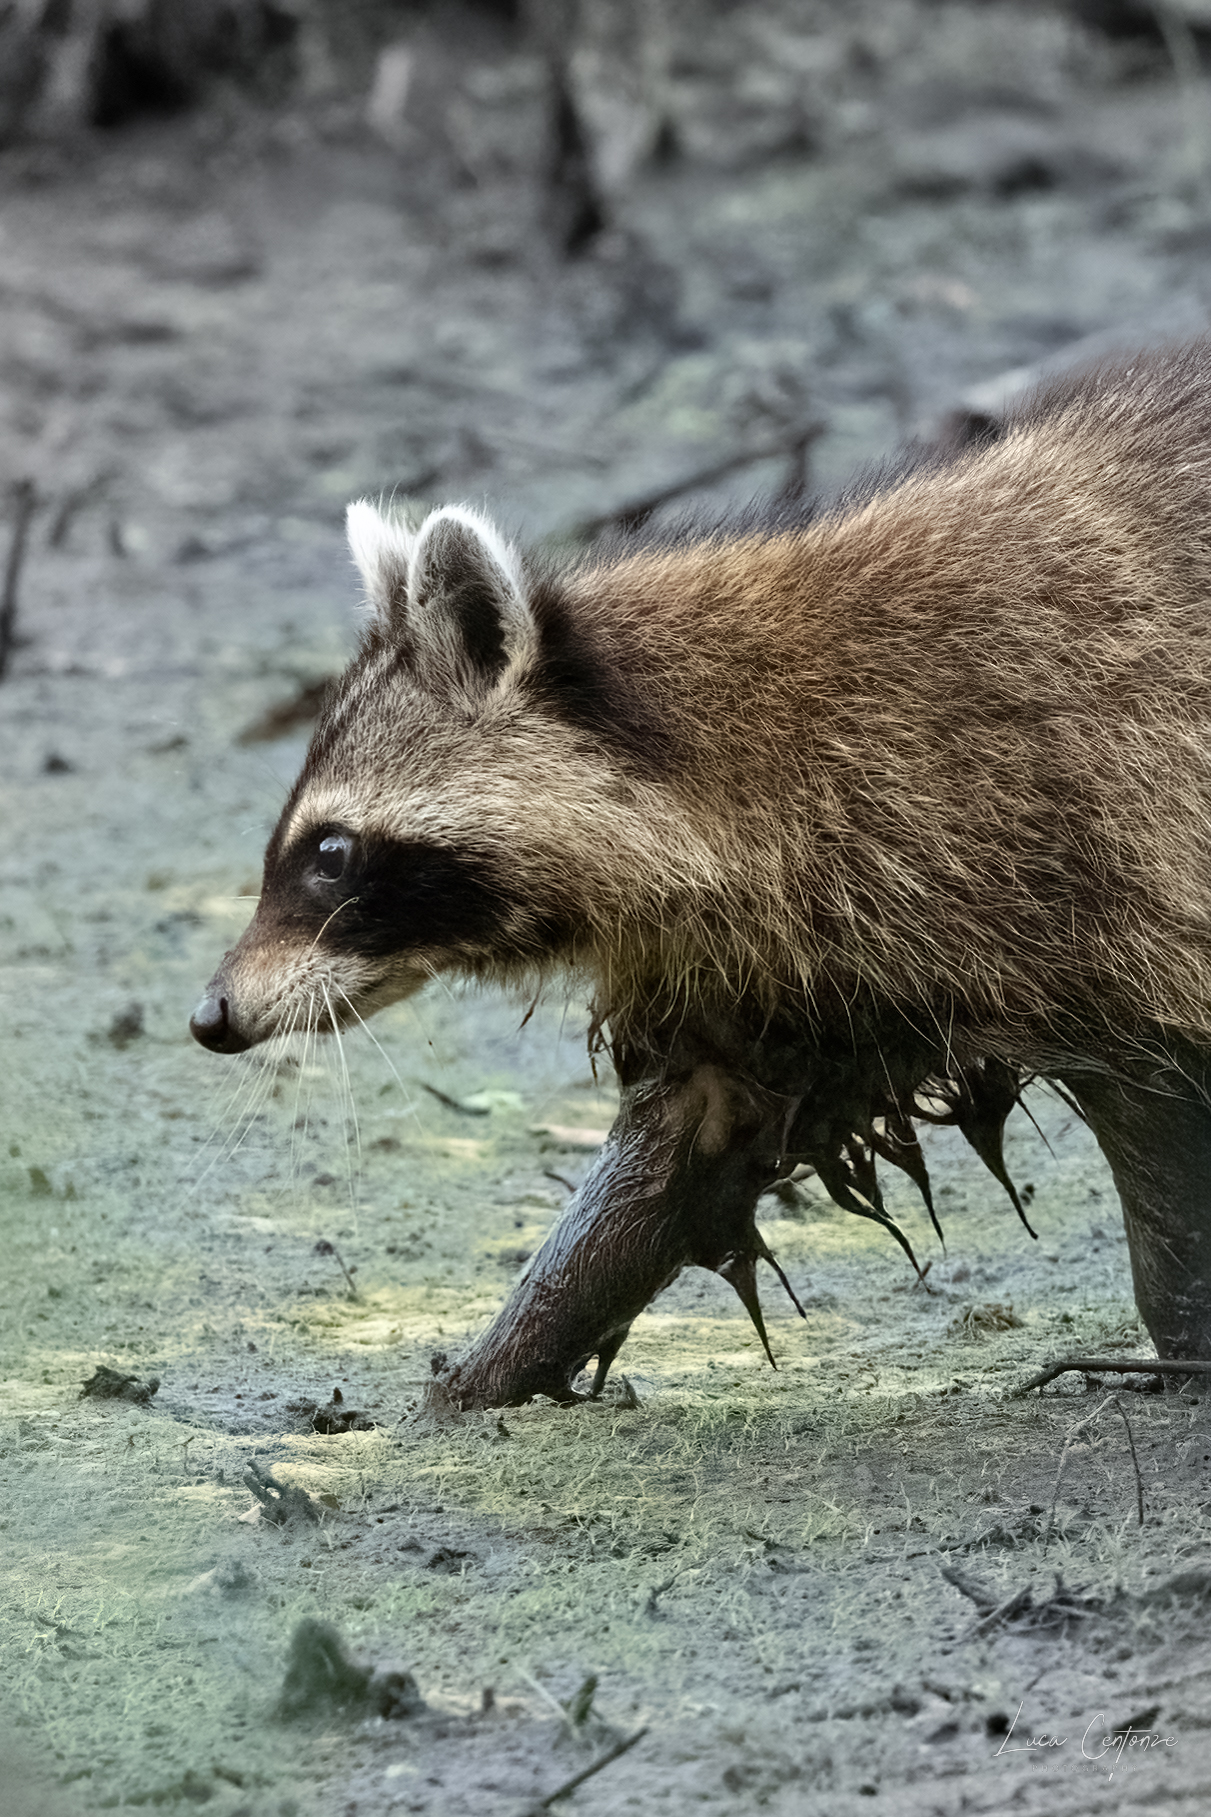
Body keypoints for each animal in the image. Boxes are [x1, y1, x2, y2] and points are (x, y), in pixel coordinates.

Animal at [193, 342, 1211, 1396]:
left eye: (330, 853)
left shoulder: (1071, 841)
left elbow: (1152, 1103)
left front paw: (1184, 1335)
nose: (210, 1015)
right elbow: (683, 1154)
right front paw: (489, 1373)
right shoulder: (786, 959)